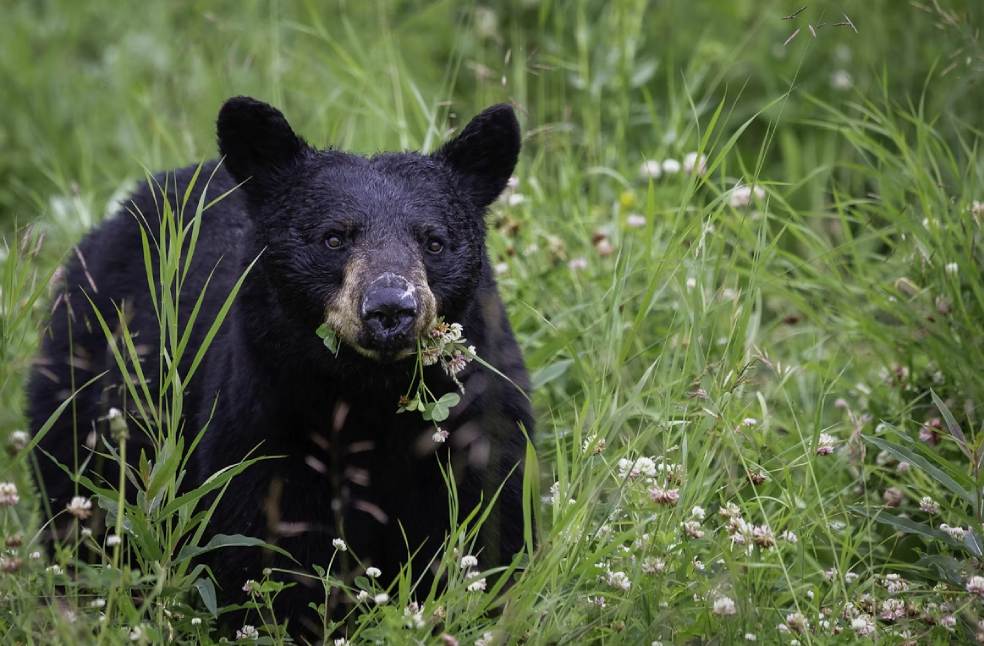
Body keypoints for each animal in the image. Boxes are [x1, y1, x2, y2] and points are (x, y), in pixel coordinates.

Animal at [27, 96, 533, 637]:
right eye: (334, 238)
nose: (390, 308)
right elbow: (267, 546)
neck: (369, 395)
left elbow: (490, 525)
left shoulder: (477, 418)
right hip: (81, 381)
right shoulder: (263, 417)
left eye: (434, 241)